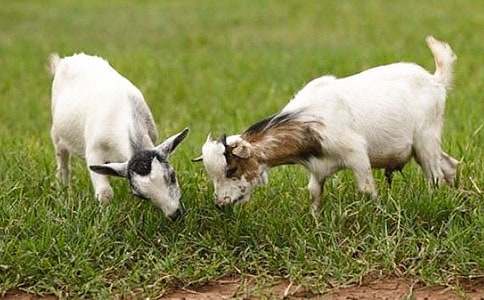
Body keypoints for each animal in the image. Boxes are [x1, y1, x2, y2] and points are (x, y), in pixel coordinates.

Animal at [48, 52, 189, 219]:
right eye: (140, 195)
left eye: (172, 176)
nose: (175, 214)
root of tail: (66, 60)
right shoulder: (94, 152)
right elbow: (105, 193)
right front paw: (105, 216)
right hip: (57, 133)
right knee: (62, 158)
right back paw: (63, 188)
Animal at [193, 36, 458, 210]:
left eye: (231, 170)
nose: (220, 203)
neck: (310, 121)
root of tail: (435, 81)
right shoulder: (318, 168)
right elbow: (314, 193)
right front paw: (315, 222)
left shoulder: (356, 154)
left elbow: (366, 190)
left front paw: (377, 215)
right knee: (450, 165)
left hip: (425, 140)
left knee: (434, 175)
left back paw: (433, 201)